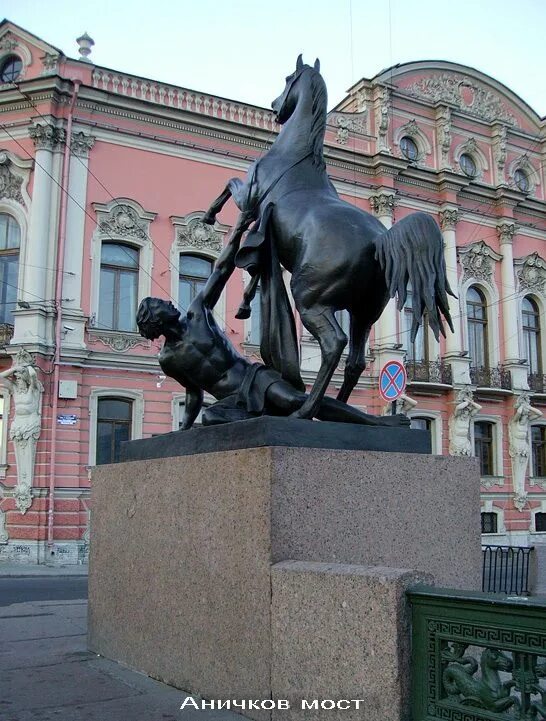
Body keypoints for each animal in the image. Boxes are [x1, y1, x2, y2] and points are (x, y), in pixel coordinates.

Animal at [202, 56, 452, 420]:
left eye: (288, 79)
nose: (275, 107)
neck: (296, 153)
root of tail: (379, 241)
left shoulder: (249, 200)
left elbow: (230, 187)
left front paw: (210, 215)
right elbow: (254, 267)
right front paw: (246, 300)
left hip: (310, 299)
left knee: (334, 344)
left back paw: (305, 411)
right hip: (365, 312)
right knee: (356, 362)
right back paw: (343, 411)